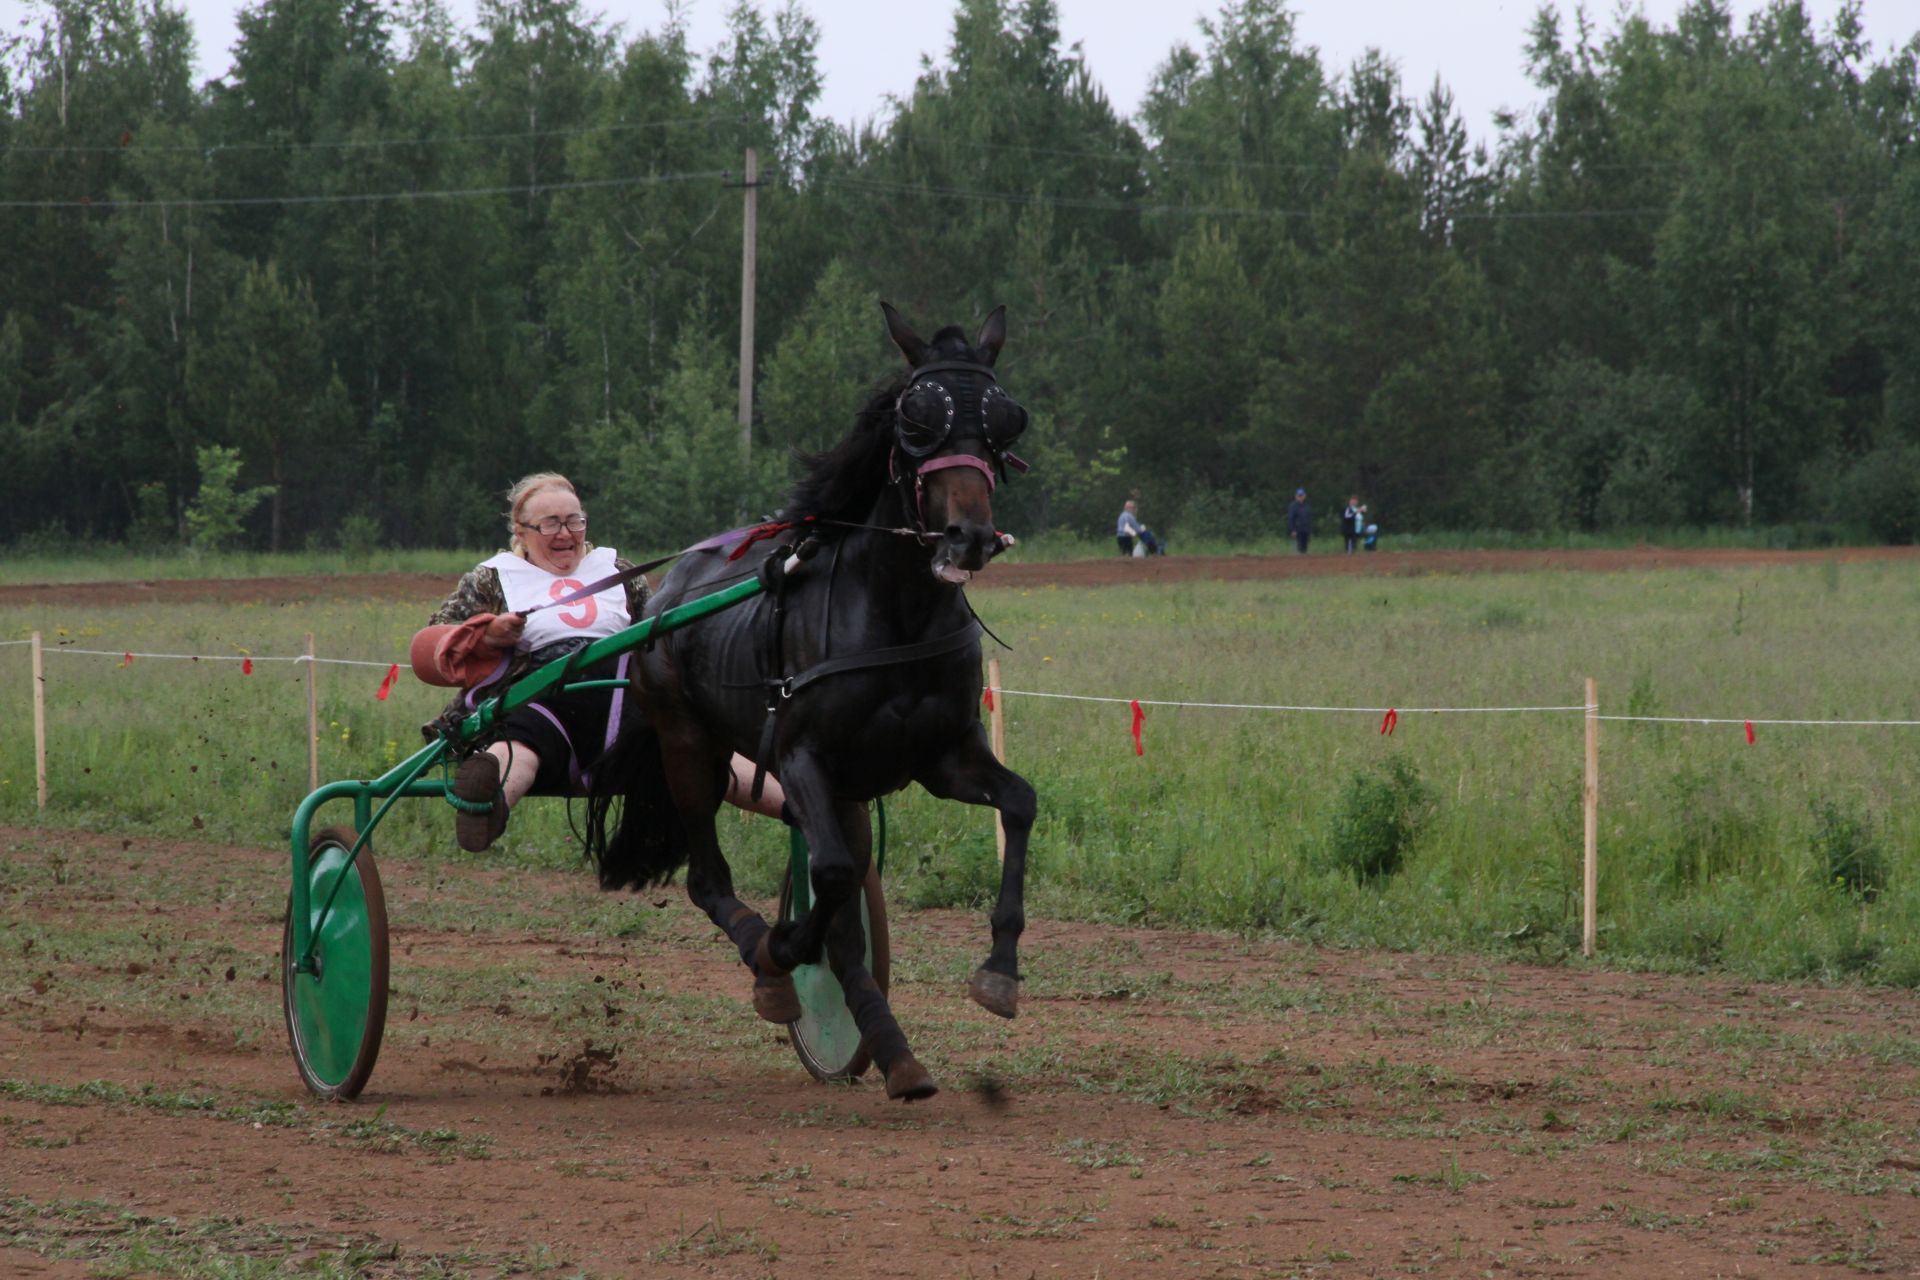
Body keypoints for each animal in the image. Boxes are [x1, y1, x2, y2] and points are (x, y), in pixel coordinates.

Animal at [606, 303, 1044, 1105]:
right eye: (917, 416)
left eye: (1004, 419)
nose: (969, 536)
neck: (896, 612)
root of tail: (666, 590)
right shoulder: (801, 756)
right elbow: (832, 876)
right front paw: (781, 950)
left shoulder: (944, 757)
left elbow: (1019, 804)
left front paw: (999, 971)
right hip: (688, 744)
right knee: (711, 877)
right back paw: (771, 957)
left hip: (841, 790)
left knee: (843, 903)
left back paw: (894, 1051)